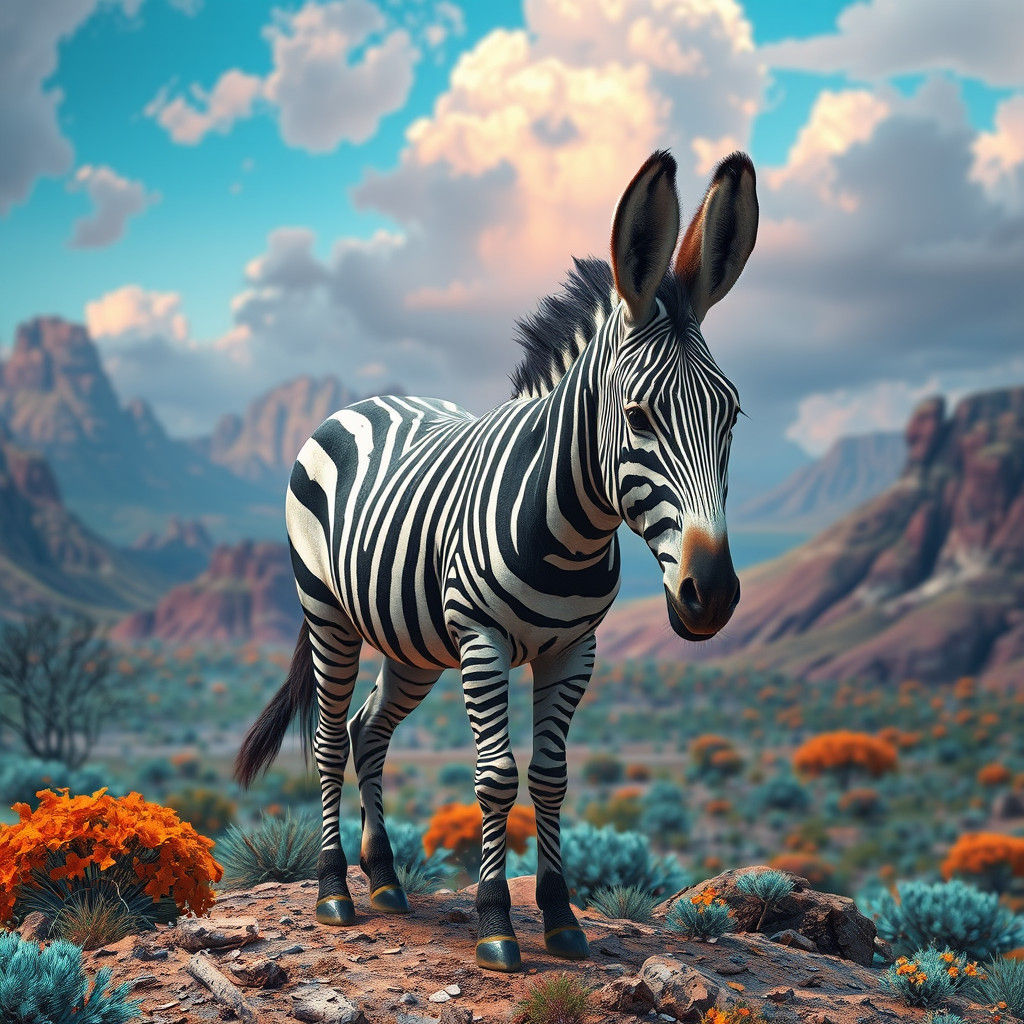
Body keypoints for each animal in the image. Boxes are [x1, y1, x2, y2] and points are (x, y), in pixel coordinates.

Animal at [235, 149, 758, 972]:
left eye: (730, 414)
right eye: (638, 416)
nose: (711, 593)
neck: (571, 526)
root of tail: (364, 402)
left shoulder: (575, 648)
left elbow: (550, 777)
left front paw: (562, 918)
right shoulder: (481, 639)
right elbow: (495, 778)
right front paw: (494, 923)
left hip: (413, 640)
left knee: (369, 731)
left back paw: (386, 881)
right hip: (328, 614)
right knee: (328, 737)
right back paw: (335, 892)